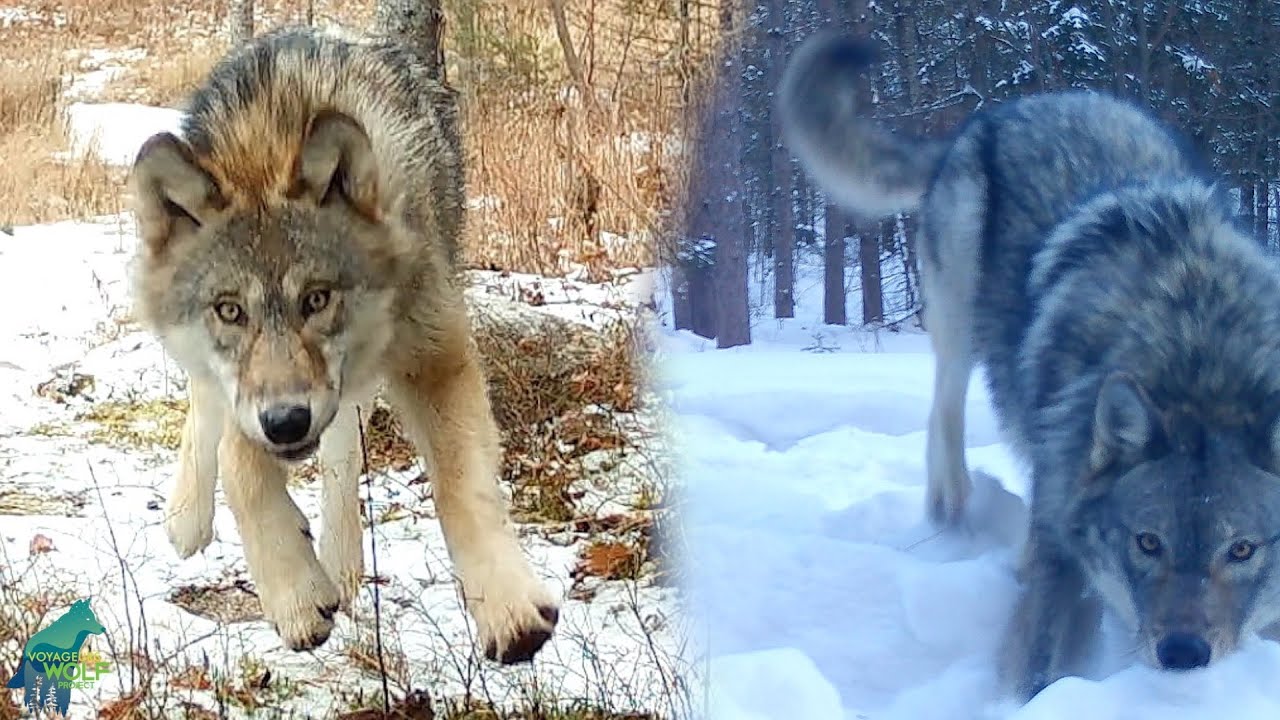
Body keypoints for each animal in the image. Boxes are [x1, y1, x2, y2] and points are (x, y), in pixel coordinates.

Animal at [127, 27, 559, 662]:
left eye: (316, 299)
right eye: (229, 310)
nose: (286, 423)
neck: (268, 137)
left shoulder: (431, 349)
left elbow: (459, 485)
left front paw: (509, 611)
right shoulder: (247, 398)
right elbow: (238, 462)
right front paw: (296, 594)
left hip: (362, 376)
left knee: (342, 453)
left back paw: (341, 563)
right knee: (208, 408)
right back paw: (189, 519)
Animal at [777, 32, 1280, 701]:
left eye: (1242, 550)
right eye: (1149, 543)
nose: (1182, 655)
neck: (1200, 357)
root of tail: (1012, 108)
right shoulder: (1060, 538)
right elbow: (1037, 661)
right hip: (961, 319)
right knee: (945, 410)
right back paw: (951, 505)